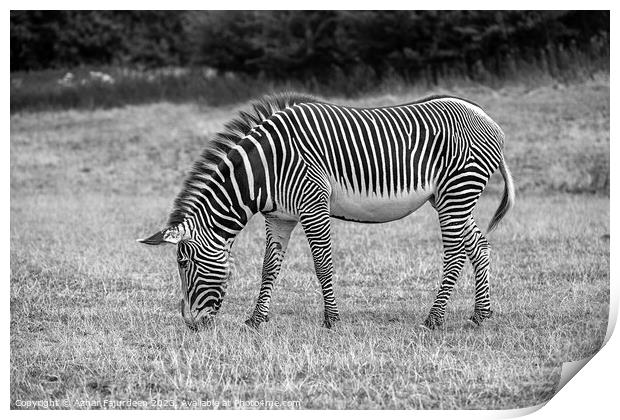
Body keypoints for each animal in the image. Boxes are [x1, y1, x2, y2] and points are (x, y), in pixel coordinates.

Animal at [138, 92, 516, 332]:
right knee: (478, 244)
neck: (265, 169)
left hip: (457, 190)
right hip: (449, 196)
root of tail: (485, 115)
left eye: (184, 263)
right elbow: (269, 268)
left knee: (454, 252)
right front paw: (257, 320)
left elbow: (322, 265)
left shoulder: (313, 203)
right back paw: (481, 315)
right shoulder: (280, 216)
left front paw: (332, 320)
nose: (191, 325)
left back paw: (434, 319)